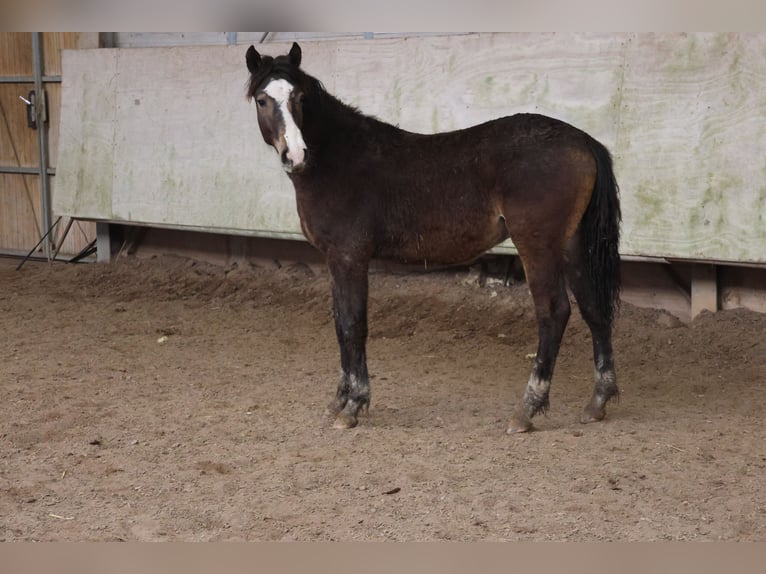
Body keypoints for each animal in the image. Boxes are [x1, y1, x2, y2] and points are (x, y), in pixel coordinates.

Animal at [246, 42, 624, 434]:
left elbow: (353, 326)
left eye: (300, 97)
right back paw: (597, 402)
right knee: (594, 310)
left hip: (537, 246)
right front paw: (338, 401)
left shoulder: (350, 258)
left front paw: (353, 405)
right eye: (262, 100)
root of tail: (583, 141)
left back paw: (527, 409)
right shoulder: (335, 261)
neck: (338, 161)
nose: (296, 155)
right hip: (573, 245)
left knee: (553, 313)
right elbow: (340, 324)